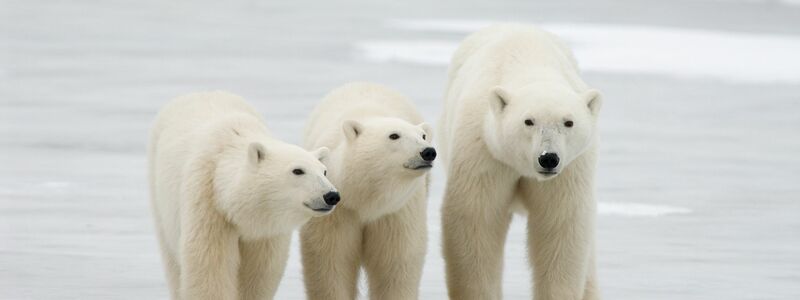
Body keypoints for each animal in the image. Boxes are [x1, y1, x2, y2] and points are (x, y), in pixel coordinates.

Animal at [148, 91, 340, 300]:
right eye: (298, 170)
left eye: (324, 171)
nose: (331, 195)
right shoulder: (208, 204)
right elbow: (210, 264)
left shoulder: (265, 232)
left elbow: (259, 273)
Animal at [302, 82, 438, 300]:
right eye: (394, 135)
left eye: (423, 136)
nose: (428, 152)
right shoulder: (340, 210)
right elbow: (331, 257)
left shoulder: (395, 211)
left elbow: (395, 260)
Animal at [440, 24, 604, 298]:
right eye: (528, 121)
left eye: (568, 122)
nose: (548, 158)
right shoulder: (485, 151)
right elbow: (477, 220)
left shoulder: (569, 170)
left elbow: (560, 225)